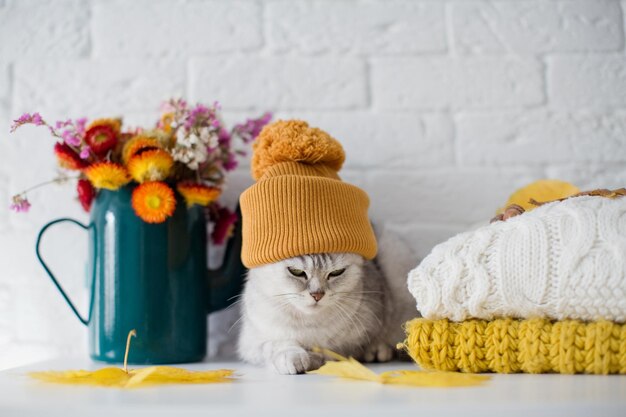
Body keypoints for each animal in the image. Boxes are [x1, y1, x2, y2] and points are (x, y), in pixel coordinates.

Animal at [234, 228, 414, 374]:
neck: (310, 323)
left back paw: (377, 351)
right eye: (296, 272)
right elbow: (277, 344)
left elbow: (332, 351)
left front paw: (313, 358)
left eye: (336, 272)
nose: (317, 294)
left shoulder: (349, 344)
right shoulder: (250, 342)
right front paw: (294, 357)